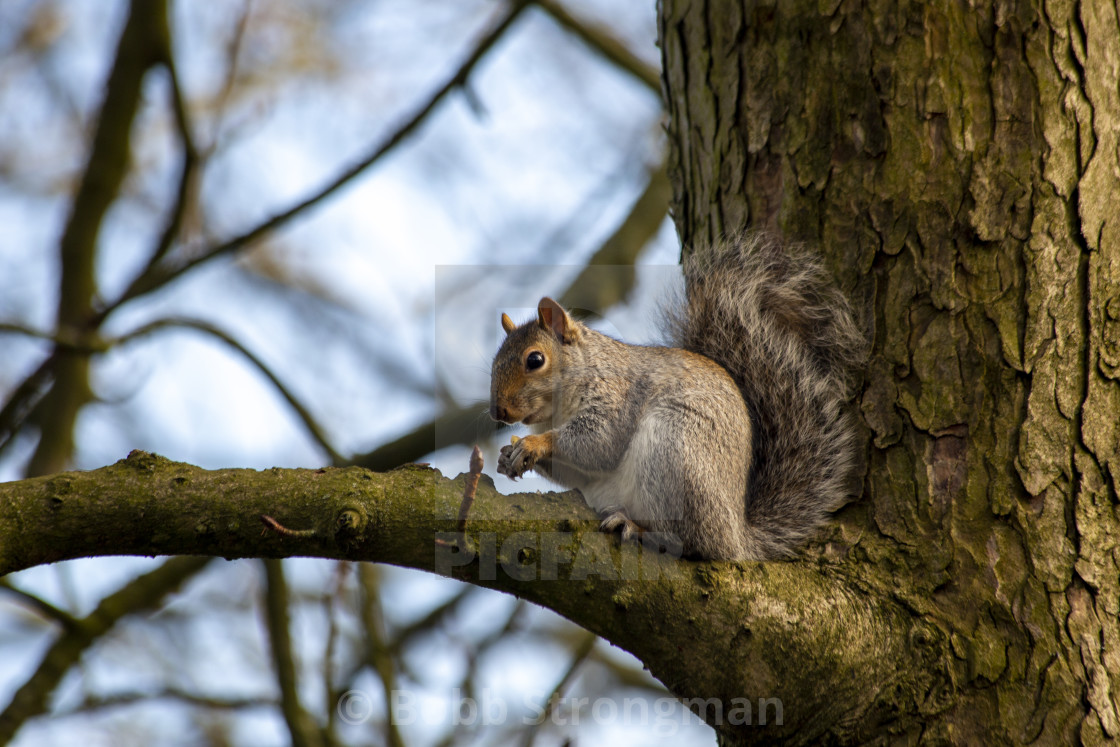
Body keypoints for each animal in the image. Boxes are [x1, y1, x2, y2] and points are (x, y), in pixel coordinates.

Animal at [488, 234, 864, 559]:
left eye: (535, 360)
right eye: (494, 360)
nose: (497, 412)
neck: (557, 410)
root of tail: (738, 539)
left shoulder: (616, 398)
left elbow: (599, 443)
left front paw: (536, 444)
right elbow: (577, 474)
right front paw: (509, 455)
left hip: (674, 451)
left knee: (694, 543)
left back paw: (640, 529)